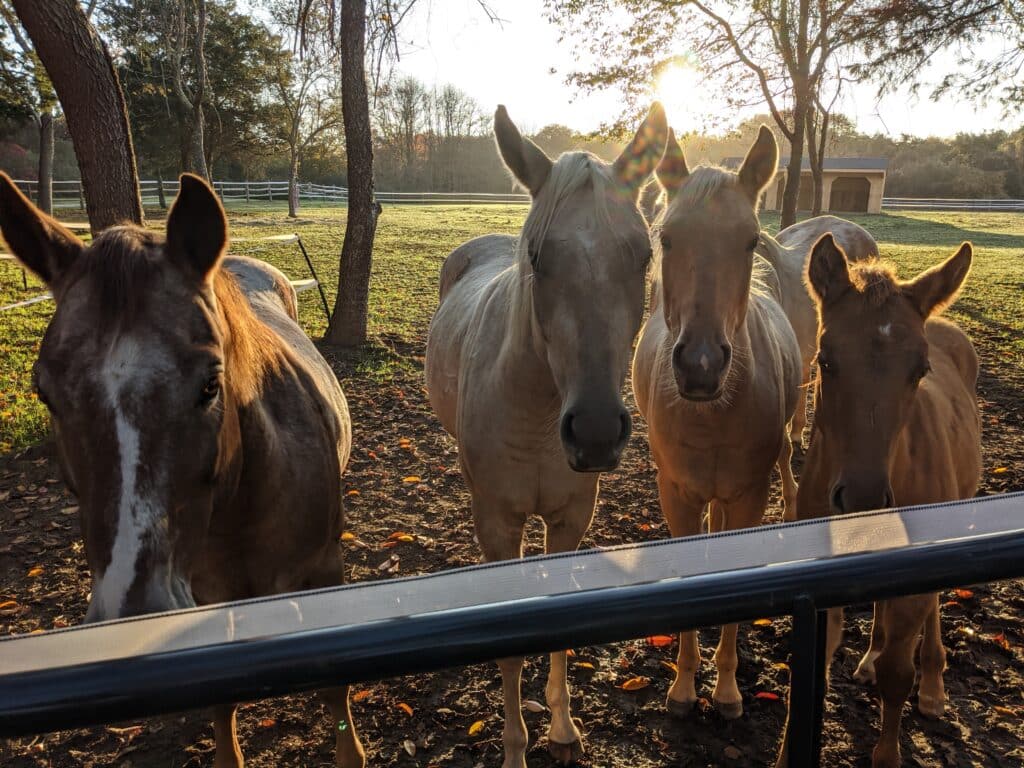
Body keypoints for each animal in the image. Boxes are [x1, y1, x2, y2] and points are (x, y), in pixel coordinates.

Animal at [424, 103, 668, 768]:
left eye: (643, 256)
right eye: (536, 256)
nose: (596, 431)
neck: (536, 416)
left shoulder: (569, 518)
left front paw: (562, 727)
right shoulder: (499, 523)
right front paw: (515, 747)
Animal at [631, 126, 802, 718]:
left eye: (749, 241)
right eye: (667, 238)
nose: (701, 366)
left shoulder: (747, 496)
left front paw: (726, 690)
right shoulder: (677, 494)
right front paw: (685, 687)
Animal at [775, 234, 981, 768]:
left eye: (920, 369)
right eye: (825, 360)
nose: (864, 497)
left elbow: (897, 676)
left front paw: (888, 751)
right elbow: (812, 671)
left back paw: (932, 685)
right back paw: (869, 656)